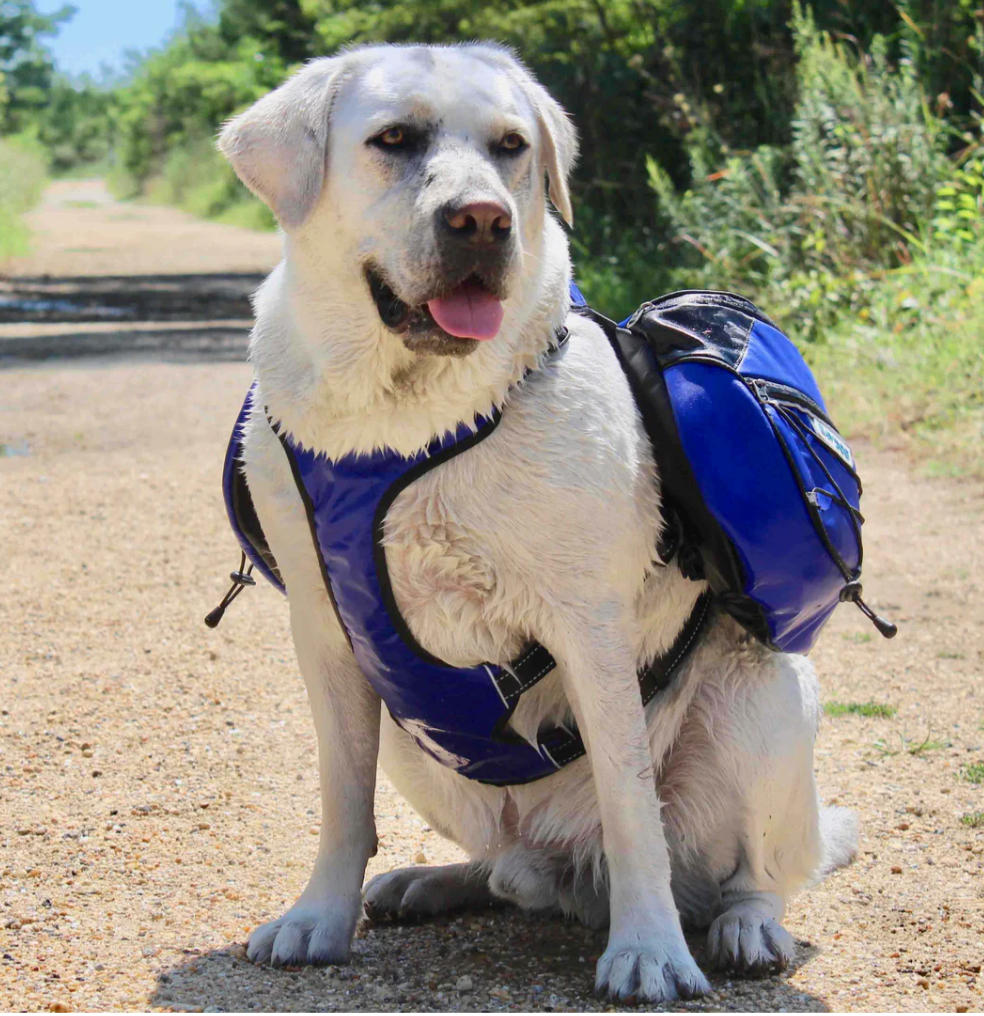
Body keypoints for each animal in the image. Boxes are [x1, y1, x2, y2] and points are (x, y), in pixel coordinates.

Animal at [215, 43, 853, 1003]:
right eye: (393, 139)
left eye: (511, 146)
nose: (483, 219)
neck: (405, 416)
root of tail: (569, 869)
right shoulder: (327, 636)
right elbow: (341, 794)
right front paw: (320, 915)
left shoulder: (590, 625)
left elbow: (632, 806)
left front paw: (649, 951)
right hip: (417, 746)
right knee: (514, 871)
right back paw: (433, 881)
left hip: (765, 698)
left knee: (759, 870)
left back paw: (746, 926)